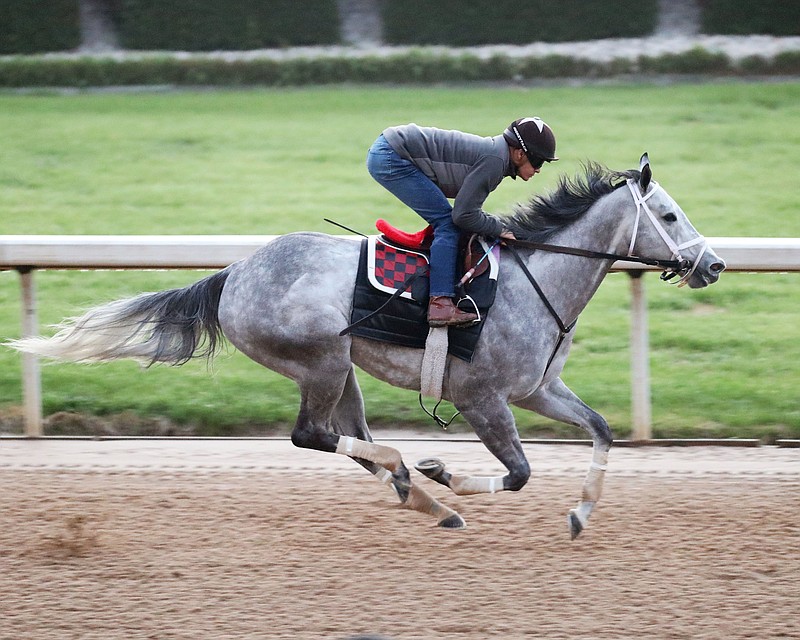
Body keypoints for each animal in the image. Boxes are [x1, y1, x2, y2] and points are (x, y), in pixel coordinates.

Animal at [10, 155, 724, 540]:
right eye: (668, 216)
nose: (713, 264)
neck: (536, 280)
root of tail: (234, 273)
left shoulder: (538, 389)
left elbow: (601, 429)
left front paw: (579, 514)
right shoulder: (481, 397)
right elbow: (519, 472)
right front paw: (446, 470)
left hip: (342, 368)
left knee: (346, 438)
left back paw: (425, 498)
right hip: (319, 360)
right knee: (313, 436)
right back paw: (418, 475)